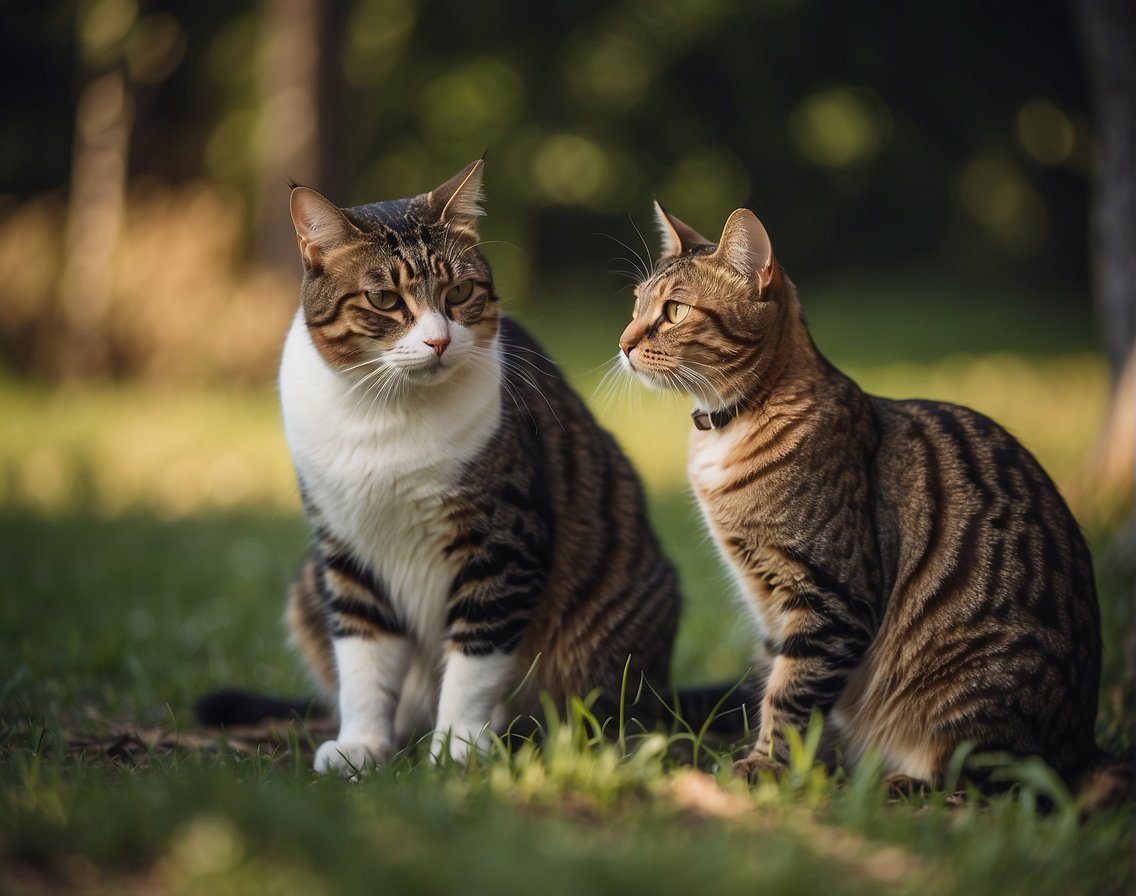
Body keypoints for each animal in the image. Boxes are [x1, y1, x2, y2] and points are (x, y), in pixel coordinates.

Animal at [273, 162, 681, 776]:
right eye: (384, 299)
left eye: (459, 292)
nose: (439, 340)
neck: (385, 414)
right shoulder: (344, 549)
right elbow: (362, 657)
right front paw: (361, 745)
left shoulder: (505, 538)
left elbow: (476, 654)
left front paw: (459, 746)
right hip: (306, 586)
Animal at [617, 198, 1131, 799]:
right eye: (636, 303)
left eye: (674, 310)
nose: (623, 343)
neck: (731, 425)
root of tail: (1081, 747)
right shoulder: (772, 609)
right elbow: (774, 683)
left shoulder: (831, 600)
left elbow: (789, 696)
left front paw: (766, 768)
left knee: (994, 782)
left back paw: (895, 783)